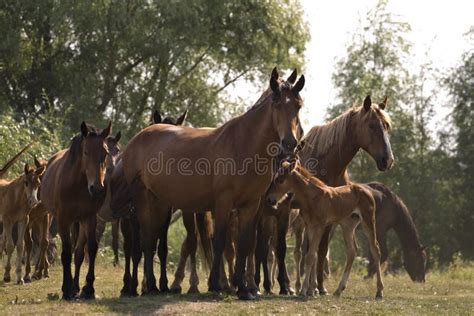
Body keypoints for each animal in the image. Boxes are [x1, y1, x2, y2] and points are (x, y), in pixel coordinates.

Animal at [0, 155, 45, 284]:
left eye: (38, 183)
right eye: (26, 182)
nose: (33, 201)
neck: (16, 199)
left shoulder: (23, 220)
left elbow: (20, 245)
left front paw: (20, 277)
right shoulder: (8, 220)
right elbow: (10, 246)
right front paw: (7, 276)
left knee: (2, 240)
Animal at [39, 121, 112, 298]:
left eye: (105, 153)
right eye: (86, 152)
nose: (97, 189)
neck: (78, 185)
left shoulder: (89, 217)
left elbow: (90, 249)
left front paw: (88, 288)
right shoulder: (63, 219)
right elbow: (66, 252)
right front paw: (66, 288)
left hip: (80, 221)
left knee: (79, 253)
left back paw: (76, 287)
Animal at [117, 68, 304, 300]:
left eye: (298, 105)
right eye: (276, 103)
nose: (290, 144)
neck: (243, 145)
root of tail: (139, 136)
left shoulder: (251, 205)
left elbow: (244, 244)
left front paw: (244, 289)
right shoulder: (223, 202)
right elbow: (220, 241)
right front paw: (217, 284)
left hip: (159, 202)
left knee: (151, 241)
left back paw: (153, 286)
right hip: (143, 198)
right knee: (146, 239)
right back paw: (149, 286)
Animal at [266, 159, 386, 300]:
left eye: (280, 180)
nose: (270, 199)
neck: (312, 197)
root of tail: (367, 191)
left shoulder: (319, 226)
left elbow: (311, 256)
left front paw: (304, 290)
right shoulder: (310, 226)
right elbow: (313, 254)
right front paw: (312, 290)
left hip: (368, 221)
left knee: (375, 249)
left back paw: (379, 291)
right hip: (347, 225)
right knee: (352, 251)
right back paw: (339, 290)